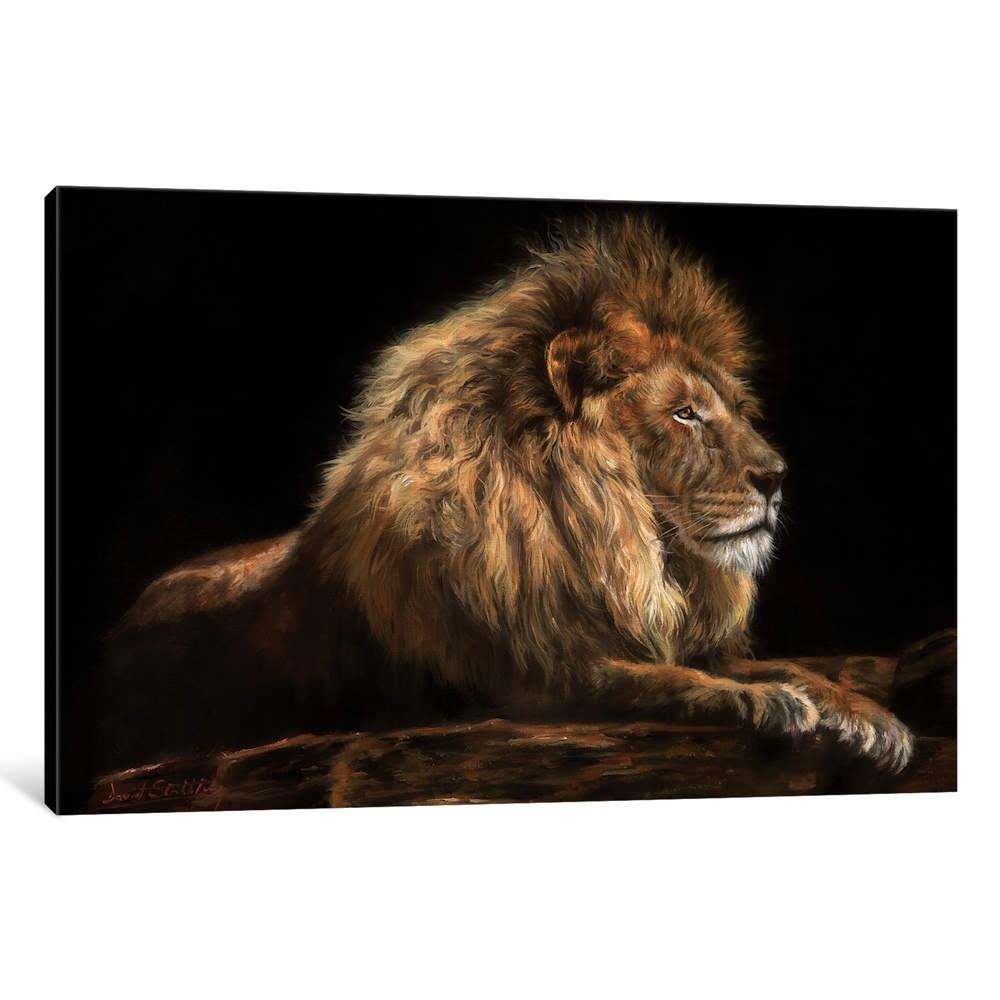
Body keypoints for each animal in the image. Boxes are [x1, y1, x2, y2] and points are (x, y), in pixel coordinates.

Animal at [106, 214, 913, 773]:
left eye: (732, 409)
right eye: (684, 412)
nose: (777, 476)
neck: (614, 547)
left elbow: (776, 663)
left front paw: (867, 715)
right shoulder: (524, 682)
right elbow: (663, 681)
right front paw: (765, 702)